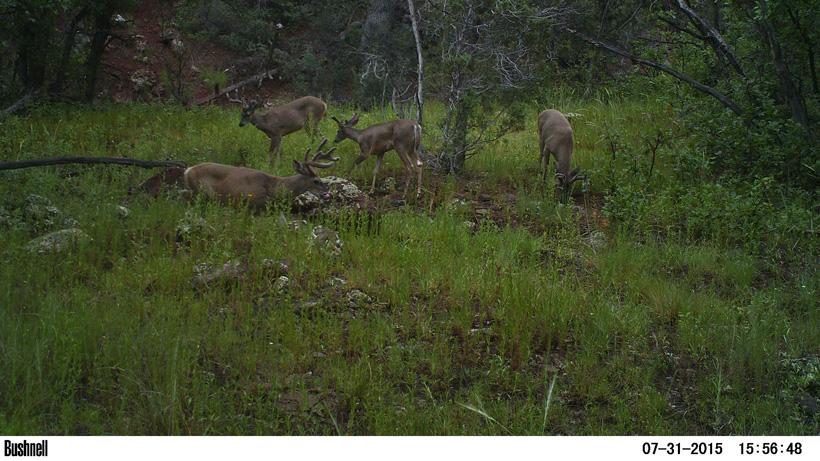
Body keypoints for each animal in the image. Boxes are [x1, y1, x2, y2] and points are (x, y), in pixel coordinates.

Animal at [183, 138, 339, 210]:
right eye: (315, 180)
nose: (327, 191)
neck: (273, 187)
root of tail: (188, 170)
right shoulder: (252, 203)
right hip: (202, 193)